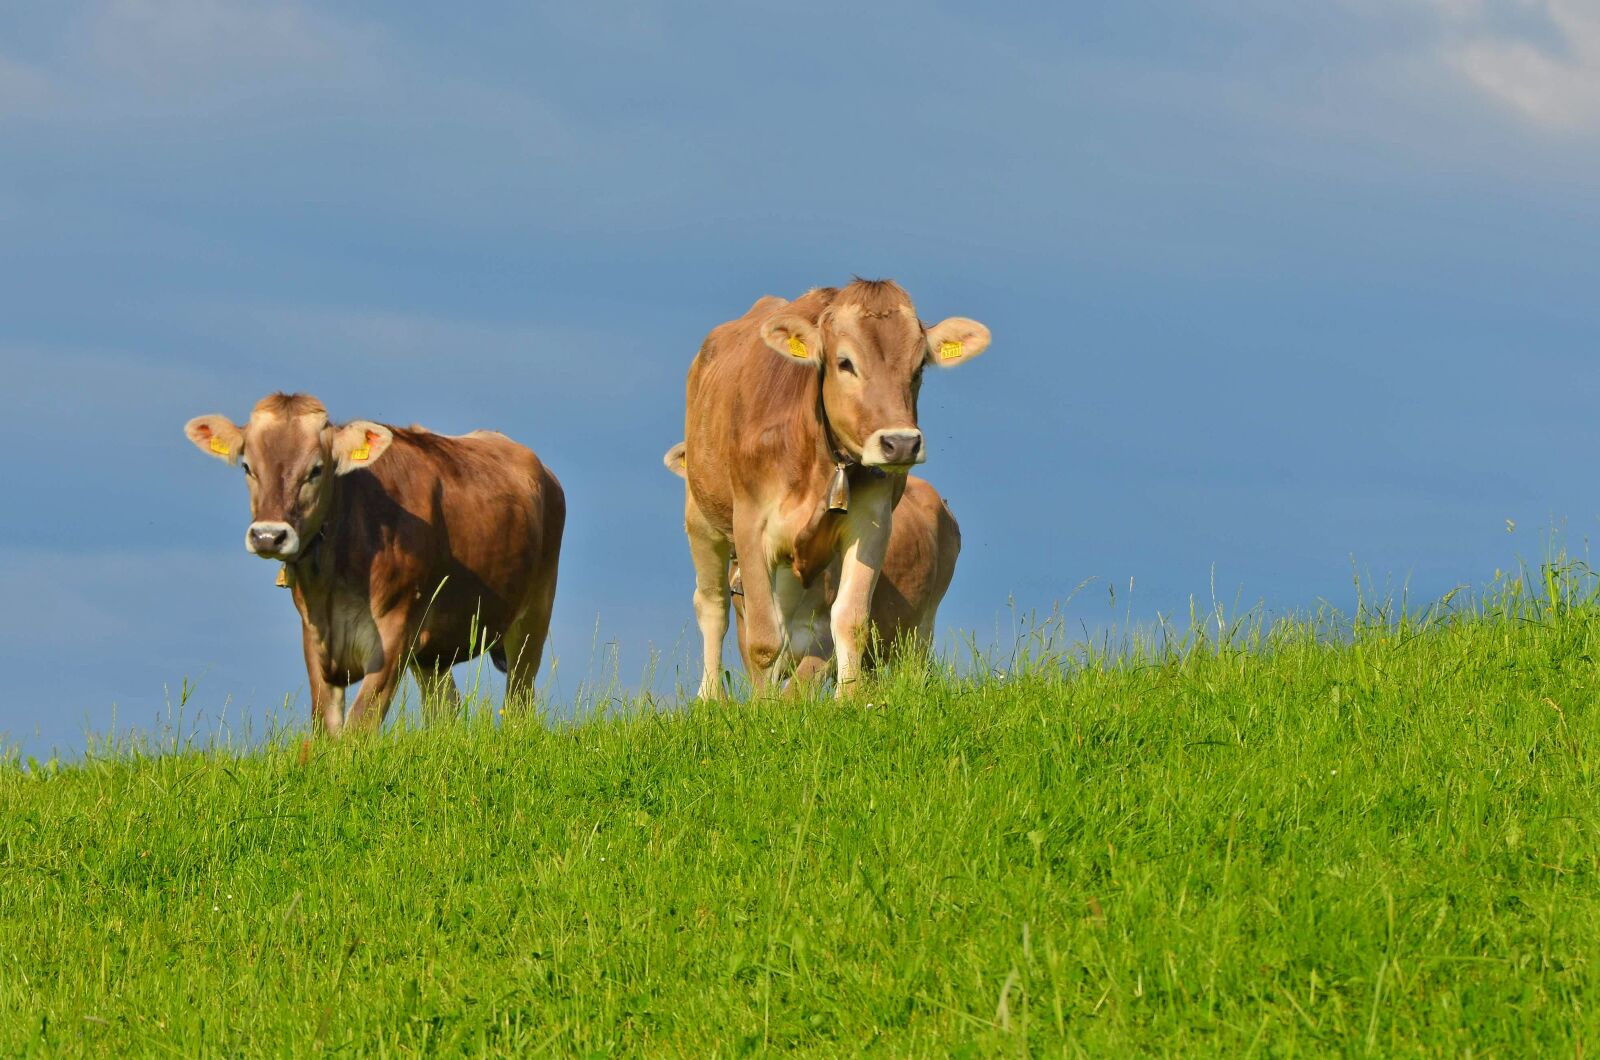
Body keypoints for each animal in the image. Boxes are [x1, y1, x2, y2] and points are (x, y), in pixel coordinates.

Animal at [184, 393, 564, 735]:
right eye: (248, 467)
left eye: (316, 469)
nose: (268, 536)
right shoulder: (314, 635)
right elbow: (326, 725)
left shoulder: (395, 633)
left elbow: (359, 726)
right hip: (433, 650)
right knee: (445, 706)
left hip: (533, 616)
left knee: (518, 700)